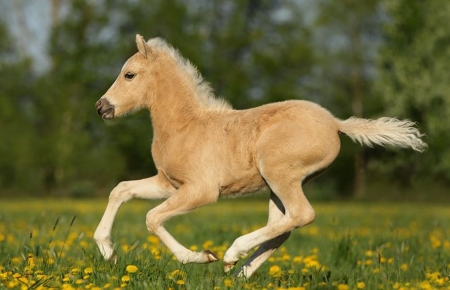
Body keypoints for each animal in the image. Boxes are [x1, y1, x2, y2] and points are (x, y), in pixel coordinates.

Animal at [94, 34, 426, 276]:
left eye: (129, 74)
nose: (102, 107)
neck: (185, 125)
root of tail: (336, 123)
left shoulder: (201, 190)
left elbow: (152, 218)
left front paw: (202, 256)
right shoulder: (169, 184)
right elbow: (121, 190)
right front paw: (108, 252)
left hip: (280, 176)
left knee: (301, 215)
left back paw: (232, 254)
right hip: (278, 186)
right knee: (284, 228)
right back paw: (240, 271)